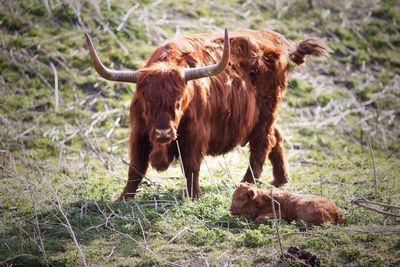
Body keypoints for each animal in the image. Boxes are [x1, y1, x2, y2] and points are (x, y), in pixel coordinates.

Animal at [85, 28, 328, 201]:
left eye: (178, 102)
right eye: (147, 102)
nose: (163, 134)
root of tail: (277, 41)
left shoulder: (195, 136)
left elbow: (191, 167)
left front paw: (193, 197)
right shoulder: (139, 135)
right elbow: (135, 168)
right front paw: (123, 198)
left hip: (267, 112)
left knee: (262, 144)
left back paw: (247, 184)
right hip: (262, 117)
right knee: (276, 137)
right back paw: (280, 180)